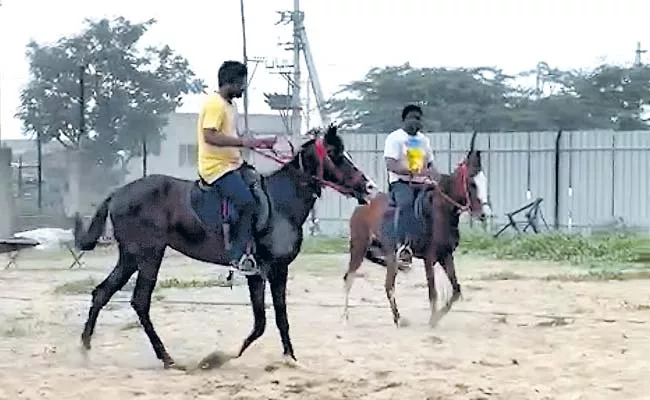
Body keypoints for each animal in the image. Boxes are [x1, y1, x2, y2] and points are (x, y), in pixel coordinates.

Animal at [71, 126, 378, 368]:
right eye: (336, 155)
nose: (370, 187)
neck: (281, 201)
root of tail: (118, 193)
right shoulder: (267, 270)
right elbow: (266, 320)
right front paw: (225, 356)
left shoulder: (268, 273)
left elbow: (274, 318)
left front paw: (289, 357)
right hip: (149, 256)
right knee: (139, 302)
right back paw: (165, 357)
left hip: (130, 257)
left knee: (102, 293)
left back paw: (85, 349)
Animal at [342, 133, 488, 326]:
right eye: (472, 183)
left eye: (484, 181)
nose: (484, 214)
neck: (440, 212)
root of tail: (361, 206)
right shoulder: (429, 257)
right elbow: (433, 292)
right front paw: (433, 320)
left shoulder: (446, 255)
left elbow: (456, 290)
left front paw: (438, 316)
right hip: (360, 248)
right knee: (352, 279)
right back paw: (347, 316)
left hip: (389, 255)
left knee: (387, 285)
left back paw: (397, 318)